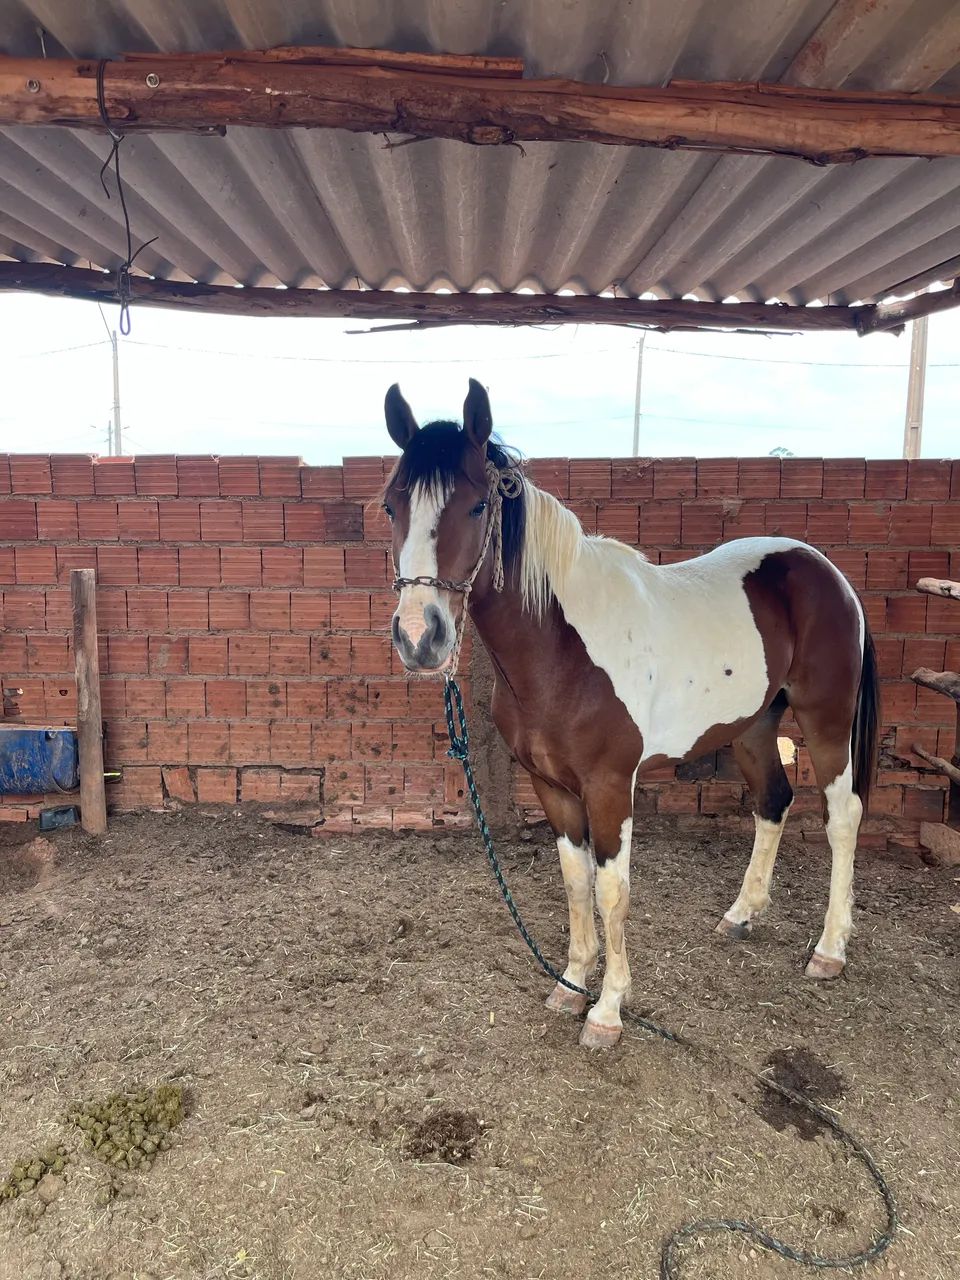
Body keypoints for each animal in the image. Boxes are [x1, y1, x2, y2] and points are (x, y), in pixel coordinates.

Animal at [382, 379, 879, 1050]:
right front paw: (570, 985)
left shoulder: (611, 786)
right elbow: (575, 881)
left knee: (843, 817)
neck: (562, 650)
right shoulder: (552, 787)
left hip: (826, 718)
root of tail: (826, 571)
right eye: (391, 507)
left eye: (478, 506)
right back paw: (741, 915)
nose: (419, 637)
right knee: (773, 801)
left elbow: (612, 890)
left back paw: (829, 950)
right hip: (753, 726)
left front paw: (608, 1010)